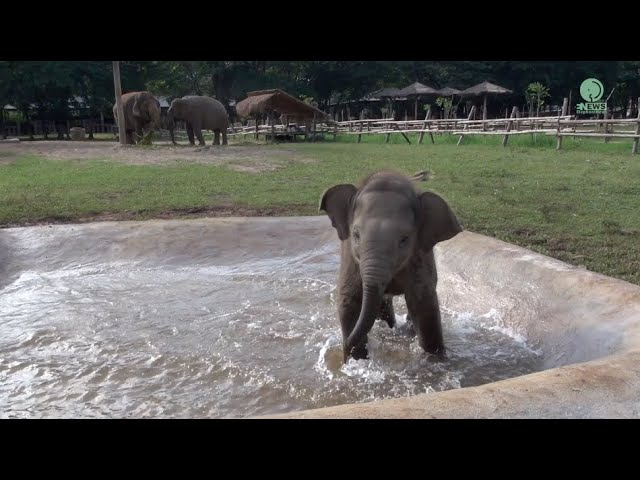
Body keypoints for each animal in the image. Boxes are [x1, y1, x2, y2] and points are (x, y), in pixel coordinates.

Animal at [318, 171, 460, 362]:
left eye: (404, 239)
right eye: (356, 235)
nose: (344, 348)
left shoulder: (420, 255)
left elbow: (423, 304)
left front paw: (435, 359)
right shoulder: (349, 255)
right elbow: (349, 300)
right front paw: (356, 361)